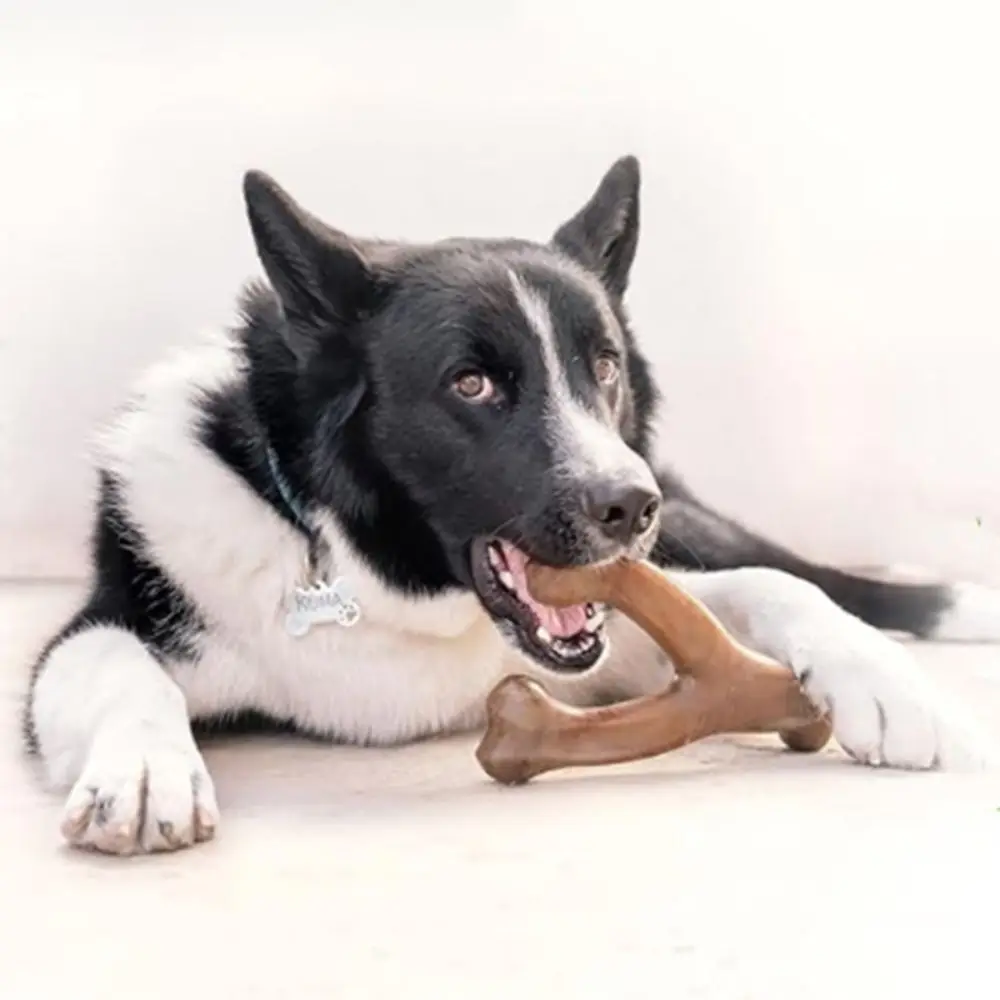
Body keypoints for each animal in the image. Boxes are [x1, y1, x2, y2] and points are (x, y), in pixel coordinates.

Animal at [25, 154, 1000, 852]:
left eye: (603, 366)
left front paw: (882, 681)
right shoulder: (105, 623)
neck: (375, 580)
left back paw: (954, 602)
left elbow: (775, 585)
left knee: (799, 564)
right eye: (472, 384)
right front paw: (143, 772)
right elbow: (119, 668)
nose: (630, 507)